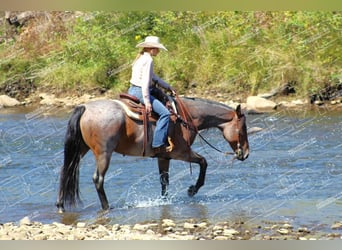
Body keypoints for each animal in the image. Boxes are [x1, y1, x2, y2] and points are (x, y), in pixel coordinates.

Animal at [55, 95, 248, 213]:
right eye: (242, 130)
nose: (245, 154)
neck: (185, 118)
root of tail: (84, 108)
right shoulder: (181, 152)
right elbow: (203, 162)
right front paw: (192, 189)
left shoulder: (164, 157)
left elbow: (164, 180)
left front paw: (164, 201)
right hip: (103, 153)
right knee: (98, 179)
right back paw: (106, 206)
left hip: (81, 149)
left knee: (66, 171)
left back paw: (61, 205)